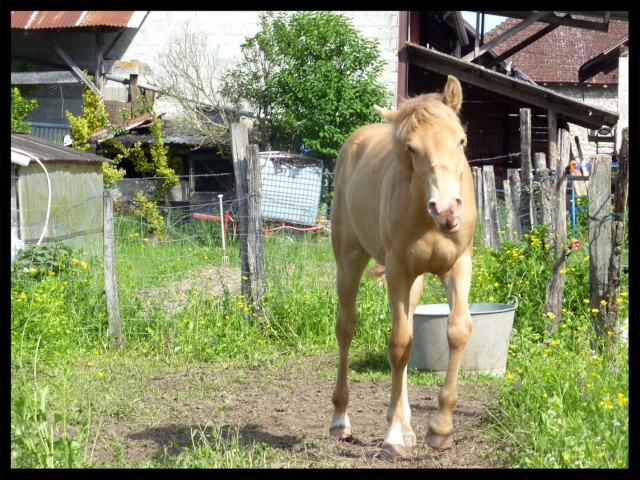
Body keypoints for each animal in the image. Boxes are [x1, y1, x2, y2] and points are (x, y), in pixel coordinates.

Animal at [330, 74, 476, 458]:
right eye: (411, 148)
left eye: (461, 140)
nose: (447, 210)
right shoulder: (396, 270)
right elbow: (397, 344)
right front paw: (393, 438)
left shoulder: (458, 266)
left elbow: (457, 330)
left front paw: (439, 429)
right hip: (349, 261)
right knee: (346, 328)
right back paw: (340, 420)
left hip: (416, 282)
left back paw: (410, 427)